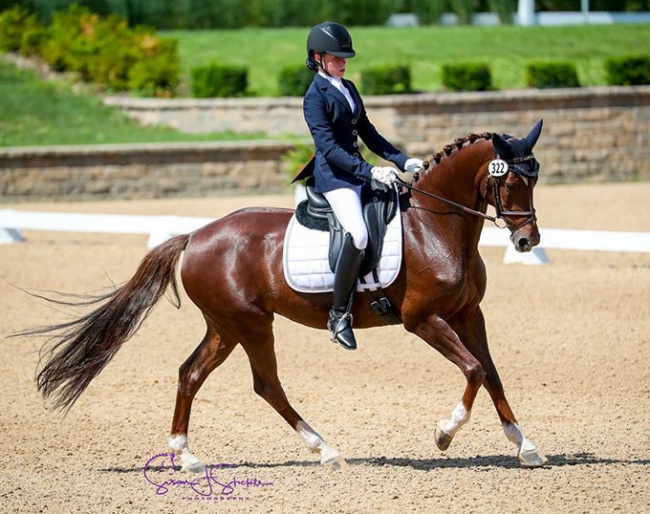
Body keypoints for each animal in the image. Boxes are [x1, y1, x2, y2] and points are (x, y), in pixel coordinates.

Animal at [33, 119, 544, 468]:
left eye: (535, 178)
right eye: (509, 180)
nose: (527, 242)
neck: (435, 226)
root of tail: (195, 236)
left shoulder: (468, 315)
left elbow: (491, 373)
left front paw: (526, 445)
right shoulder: (422, 320)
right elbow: (473, 369)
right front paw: (444, 433)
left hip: (225, 327)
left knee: (191, 374)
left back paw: (187, 456)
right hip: (251, 324)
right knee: (266, 385)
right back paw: (326, 450)